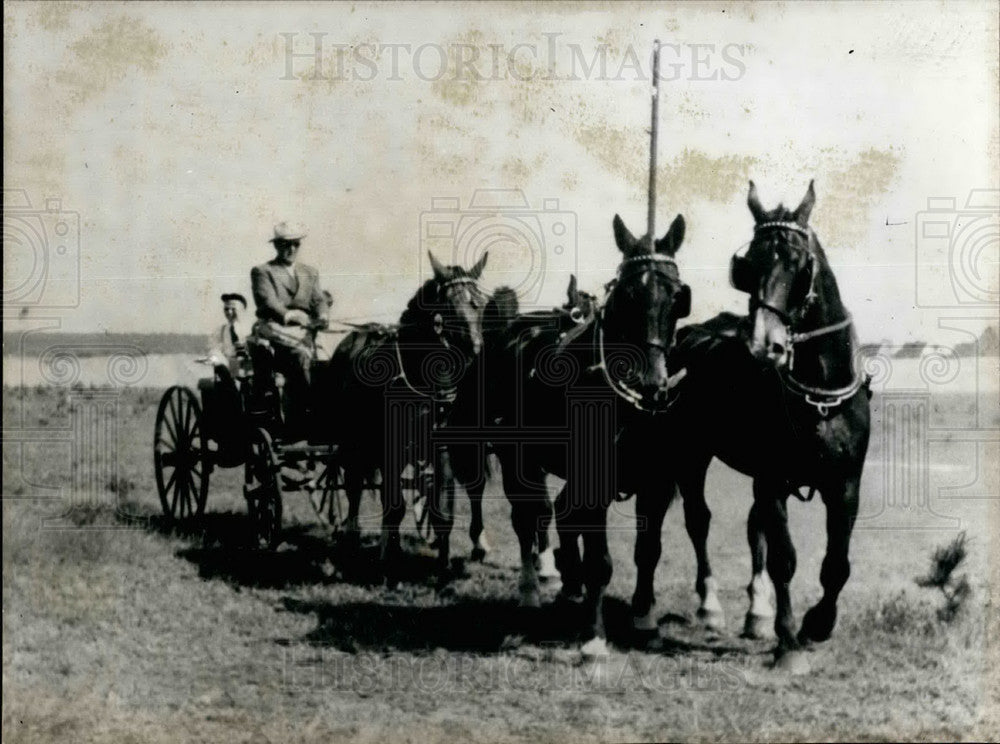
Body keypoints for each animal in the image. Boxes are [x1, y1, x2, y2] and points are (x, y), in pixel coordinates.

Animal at [322, 253, 490, 584]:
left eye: (480, 303)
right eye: (448, 306)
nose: (475, 350)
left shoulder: (443, 450)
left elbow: (442, 513)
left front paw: (442, 566)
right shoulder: (390, 449)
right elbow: (394, 507)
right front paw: (388, 564)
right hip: (353, 440)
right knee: (354, 486)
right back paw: (353, 538)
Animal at [488, 212, 692, 652]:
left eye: (677, 297)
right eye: (625, 297)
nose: (651, 386)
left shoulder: (656, 484)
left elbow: (648, 551)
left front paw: (645, 620)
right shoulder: (595, 482)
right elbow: (600, 561)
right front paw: (594, 635)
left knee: (562, 513)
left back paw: (569, 585)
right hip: (516, 460)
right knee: (528, 518)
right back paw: (531, 593)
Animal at [636, 182, 872, 676]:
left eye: (801, 264)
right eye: (749, 265)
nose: (766, 344)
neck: (819, 396)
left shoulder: (845, 483)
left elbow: (836, 564)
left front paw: (818, 623)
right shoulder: (773, 480)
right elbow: (785, 559)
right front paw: (789, 642)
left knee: (751, 525)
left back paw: (757, 613)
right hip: (688, 456)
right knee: (698, 520)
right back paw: (710, 607)